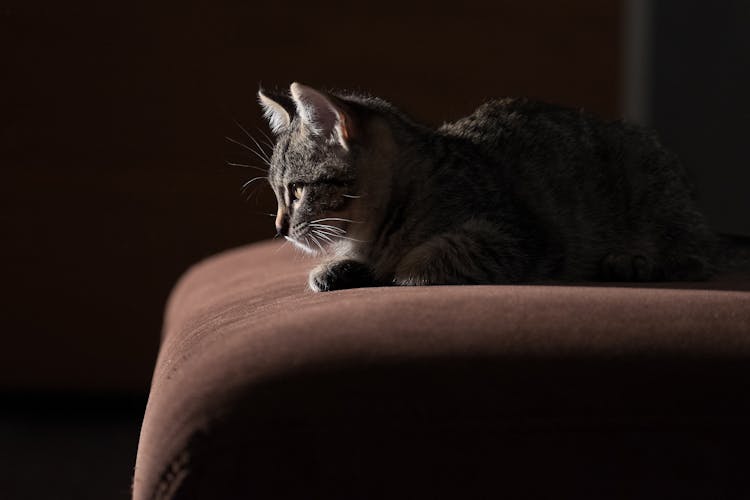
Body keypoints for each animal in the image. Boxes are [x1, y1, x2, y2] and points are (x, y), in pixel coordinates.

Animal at [256, 83, 720, 292]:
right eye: (277, 193)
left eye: (296, 191)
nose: (279, 228)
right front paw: (340, 267)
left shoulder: (520, 236)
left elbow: (433, 255)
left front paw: (402, 269)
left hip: (655, 194)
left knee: (695, 257)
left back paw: (632, 260)